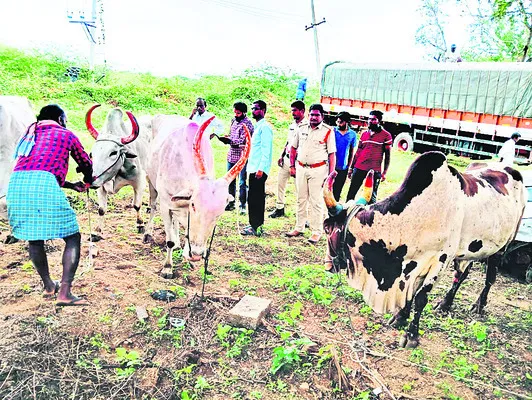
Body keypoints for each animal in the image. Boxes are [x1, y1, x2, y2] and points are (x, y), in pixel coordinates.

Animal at [85, 105, 151, 234]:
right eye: (92, 153)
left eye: (113, 152)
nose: (90, 179)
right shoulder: (101, 186)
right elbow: (101, 209)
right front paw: (97, 231)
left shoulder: (139, 182)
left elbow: (137, 205)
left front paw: (140, 224)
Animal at [142, 115, 248, 278]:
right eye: (194, 205)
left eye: (219, 213)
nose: (197, 254)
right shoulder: (166, 206)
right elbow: (169, 240)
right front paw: (167, 268)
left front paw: (187, 257)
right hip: (151, 182)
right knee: (153, 207)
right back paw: (148, 234)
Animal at [322, 152, 524, 348]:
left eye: (327, 229)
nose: (328, 266)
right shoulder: (413, 265)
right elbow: (410, 294)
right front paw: (400, 318)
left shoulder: (440, 261)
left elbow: (420, 298)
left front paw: (411, 336)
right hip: (470, 250)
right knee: (461, 275)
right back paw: (445, 304)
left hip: (502, 246)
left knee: (490, 278)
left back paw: (479, 305)